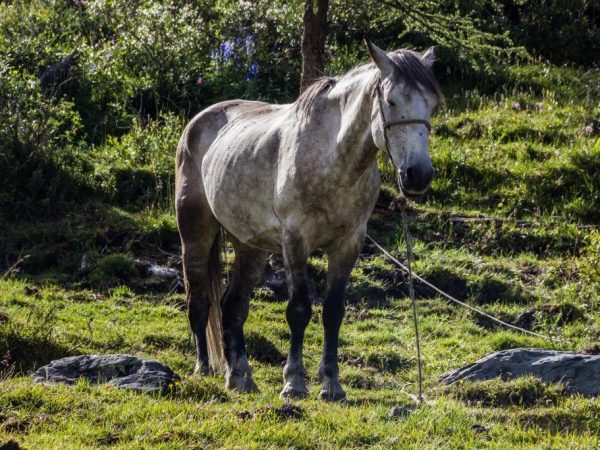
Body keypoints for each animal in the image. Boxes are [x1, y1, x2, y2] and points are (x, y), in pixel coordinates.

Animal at [173, 40, 440, 400]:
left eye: (431, 104)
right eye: (391, 100)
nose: (418, 175)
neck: (333, 159)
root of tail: (197, 123)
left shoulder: (348, 244)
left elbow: (333, 312)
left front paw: (332, 384)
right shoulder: (296, 241)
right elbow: (298, 310)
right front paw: (294, 382)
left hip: (250, 246)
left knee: (233, 306)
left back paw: (240, 376)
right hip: (196, 233)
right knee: (200, 300)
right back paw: (203, 367)